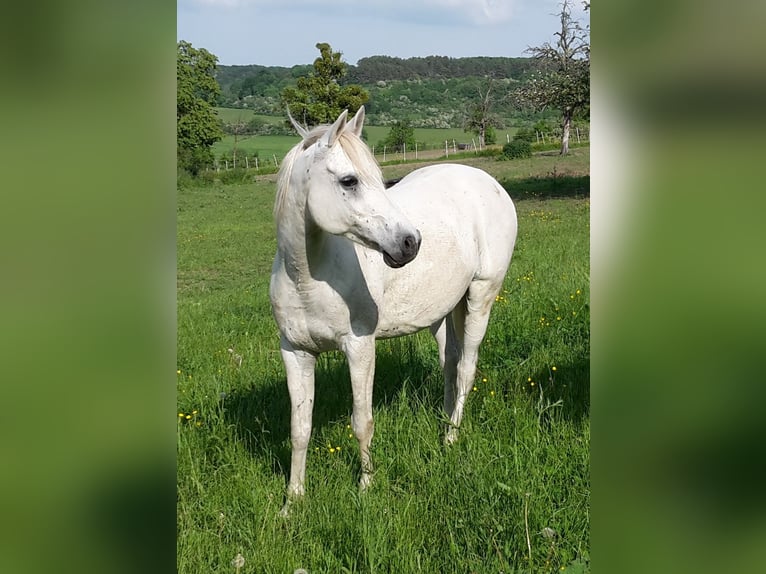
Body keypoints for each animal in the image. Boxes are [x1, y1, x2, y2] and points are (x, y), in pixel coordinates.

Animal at [268, 108, 516, 508]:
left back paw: (451, 437)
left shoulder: (359, 347)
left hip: (482, 295)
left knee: (466, 368)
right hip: (443, 310)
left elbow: (362, 421)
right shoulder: (295, 352)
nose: (410, 242)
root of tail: (488, 181)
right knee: (450, 363)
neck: (307, 277)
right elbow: (300, 429)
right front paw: (292, 502)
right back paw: (443, 425)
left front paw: (365, 486)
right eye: (350, 180)